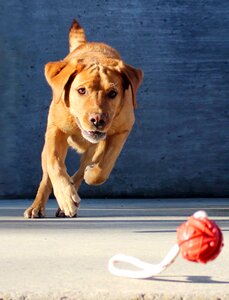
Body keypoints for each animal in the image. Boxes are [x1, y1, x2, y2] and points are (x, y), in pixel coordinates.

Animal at [24, 19, 142, 218]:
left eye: (113, 93)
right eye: (81, 90)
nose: (98, 120)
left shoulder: (122, 131)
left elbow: (103, 168)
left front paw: (88, 176)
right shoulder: (55, 130)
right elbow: (55, 164)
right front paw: (65, 197)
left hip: (95, 149)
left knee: (81, 170)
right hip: (46, 150)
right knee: (46, 177)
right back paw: (37, 206)